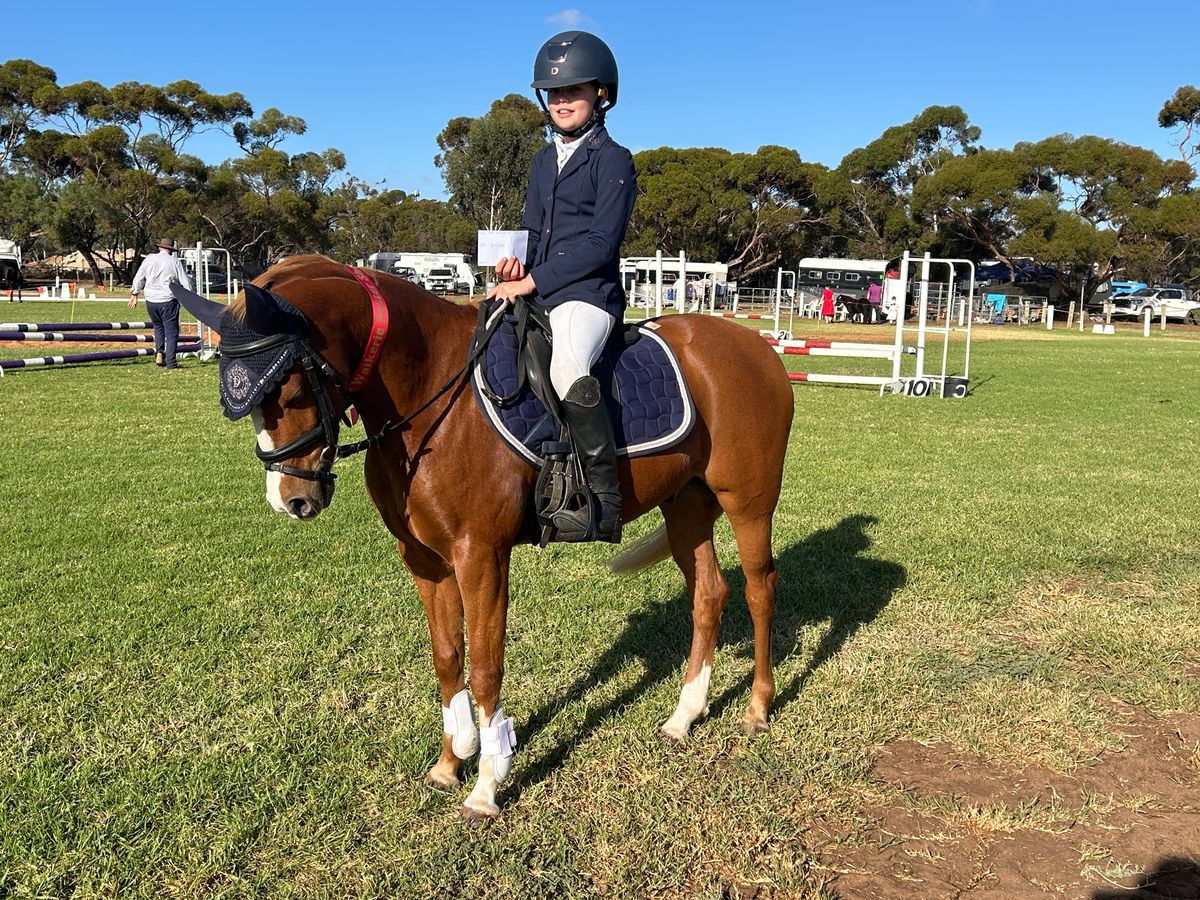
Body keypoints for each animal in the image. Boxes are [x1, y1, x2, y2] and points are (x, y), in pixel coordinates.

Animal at [177, 255, 793, 819]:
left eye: (291, 388)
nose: (292, 500)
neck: (429, 393)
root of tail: (759, 348)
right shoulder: (425, 559)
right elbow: (448, 658)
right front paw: (451, 762)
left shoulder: (482, 555)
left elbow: (485, 665)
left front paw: (486, 786)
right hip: (685, 505)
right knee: (709, 594)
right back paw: (684, 716)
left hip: (748, 504)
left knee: (760, 589)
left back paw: (758, 708)